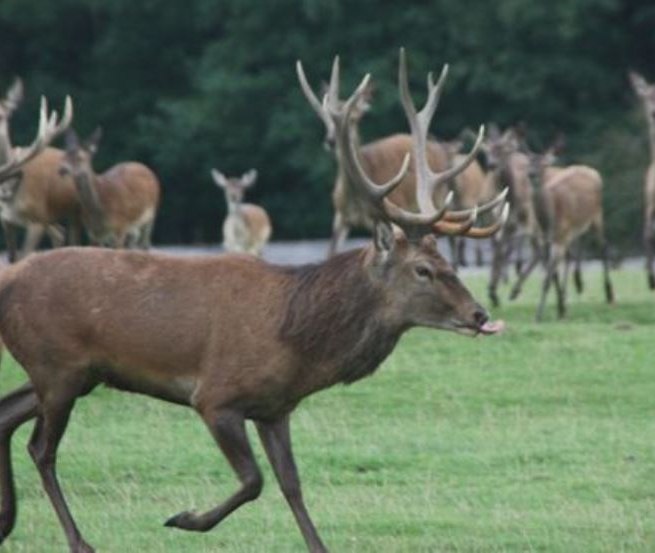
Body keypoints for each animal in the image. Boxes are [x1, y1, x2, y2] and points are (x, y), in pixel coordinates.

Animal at [0, 81, 77, 262]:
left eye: (4, 115)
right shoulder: (5, 221)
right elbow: (13, 258)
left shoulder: (37, 219)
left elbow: (24, 256)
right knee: (59, 233)